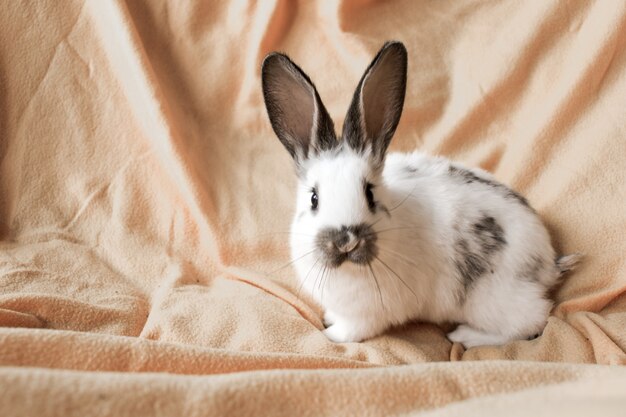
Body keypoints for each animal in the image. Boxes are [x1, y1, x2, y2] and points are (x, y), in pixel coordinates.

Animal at [258, 41, 576, 348]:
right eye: (314, 198)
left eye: (369, 194)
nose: (346, 240)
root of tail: (547, 262)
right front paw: (328, 318)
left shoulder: (368, 315)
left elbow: (352, 331)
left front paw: (331, 334)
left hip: (492, 300)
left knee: (533, 321)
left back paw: (467, 336)